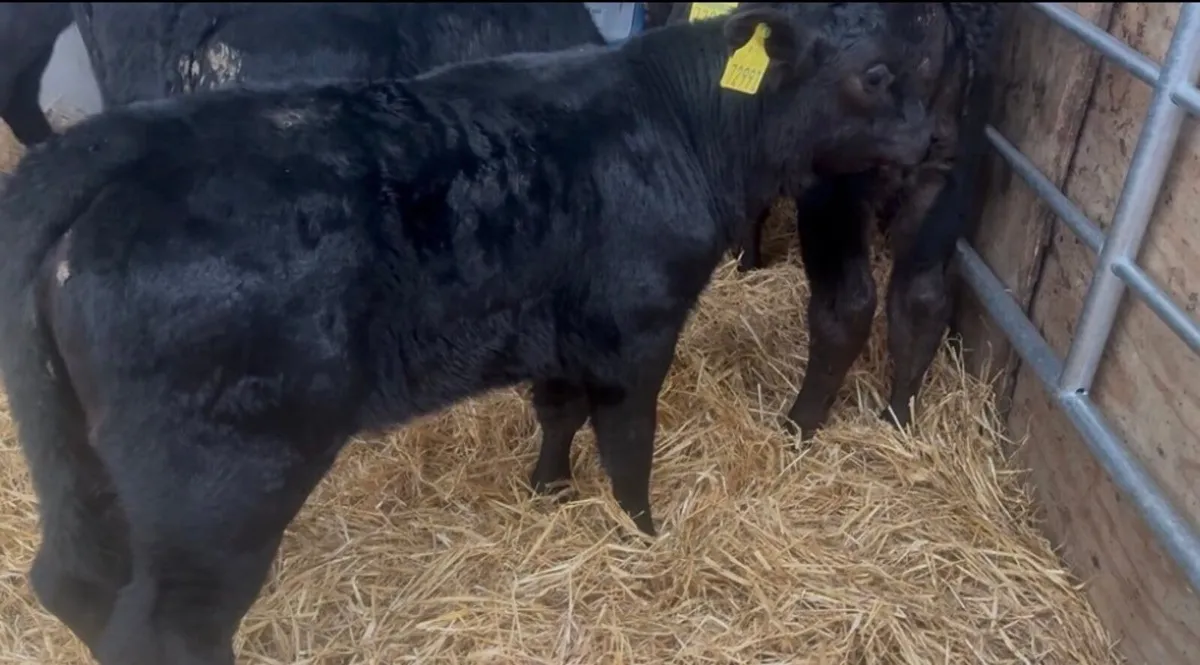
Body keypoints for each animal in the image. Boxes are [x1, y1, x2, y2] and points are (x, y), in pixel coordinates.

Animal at [0, 4, 937, 664]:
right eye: (876, 72)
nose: (936, 139)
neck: (683, 125)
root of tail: (115, 148)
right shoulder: (637, 327)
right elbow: (629, 442)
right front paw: (644, 535)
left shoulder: (557, 327)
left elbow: (558, 412)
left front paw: (548, 491)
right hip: (219, 481)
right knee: (163, 626)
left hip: (78, 453)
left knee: (72, 579)